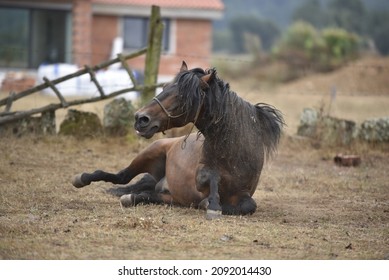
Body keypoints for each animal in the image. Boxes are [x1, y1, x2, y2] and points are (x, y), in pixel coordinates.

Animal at [71, 62, 284, 220]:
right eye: (164, 87)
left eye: (182, 96)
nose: (140, 118)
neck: (235, 152)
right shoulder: (202, 177)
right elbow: (210, 179)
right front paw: (212, 204)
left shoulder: (245, 193)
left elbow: (249, 205)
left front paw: (212, 205)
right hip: (149, 153)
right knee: (122, 176)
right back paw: (82, 178)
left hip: (170, 196)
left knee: (147, 194)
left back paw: (133, 197)